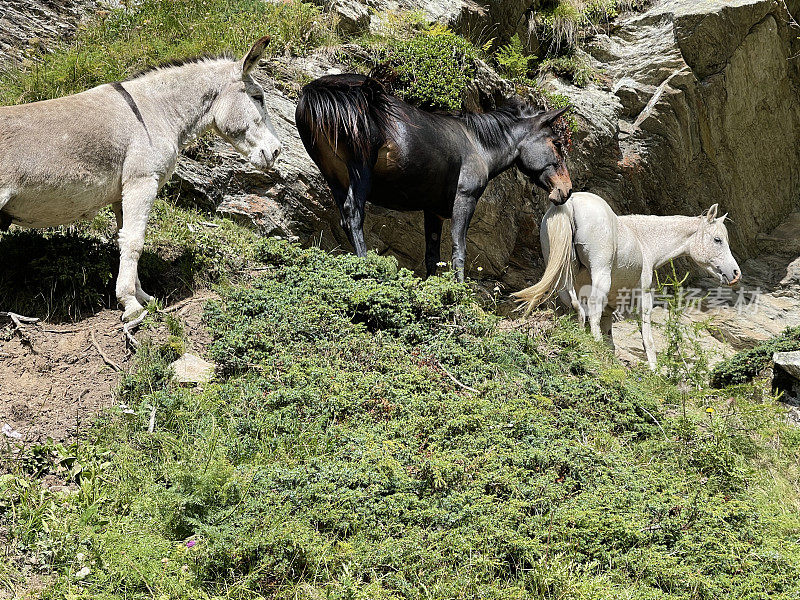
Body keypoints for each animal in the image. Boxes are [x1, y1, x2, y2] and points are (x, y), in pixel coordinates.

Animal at [0, 37, 282, 322]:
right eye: (258, 97)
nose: (277, 151)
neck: (155, 112)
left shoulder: (122, 194)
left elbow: (125, 238)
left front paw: (143, 297)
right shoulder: (142, 182)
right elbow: (136, 242)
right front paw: (130, 304)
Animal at [296, 74, 572, 280]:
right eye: (557, 143)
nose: (566, 190)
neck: (477, 144)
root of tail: (317, 91)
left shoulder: (434, 211)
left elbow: (432, 256)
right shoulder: (465, 199)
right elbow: (459, 249)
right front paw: (460, 292)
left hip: (333, 176)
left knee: (345, 217)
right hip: (359, 170)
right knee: (353, 214)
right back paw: (364, 264)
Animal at [516, 195, 740, 368]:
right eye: (717, 240)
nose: (735, 274)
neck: (642, 240)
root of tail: (570, 203)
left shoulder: (609, 306)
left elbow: (609, 336)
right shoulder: (644, 297)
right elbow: (647, 338)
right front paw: (655, 372)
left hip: (565, 276)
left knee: (575, 306)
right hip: (600, 275)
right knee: (592, 311)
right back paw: (595, 344)